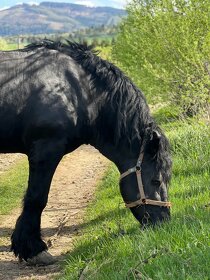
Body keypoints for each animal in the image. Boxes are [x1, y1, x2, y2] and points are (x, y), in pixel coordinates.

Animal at [0, 40, 171, 266]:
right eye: (156, 181)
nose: (164, 222)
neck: (78, 89)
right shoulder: (46, 149)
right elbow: (37, 198)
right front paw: (34, 249)